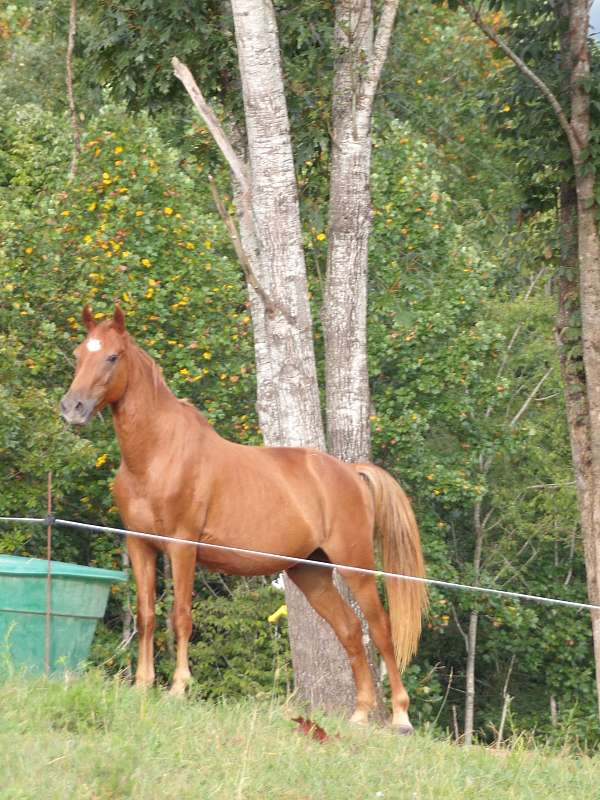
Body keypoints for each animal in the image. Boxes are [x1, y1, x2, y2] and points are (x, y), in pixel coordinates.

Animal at [60, 305, 427, 732]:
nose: (73, 408)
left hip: (355, 566)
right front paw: (142, 685)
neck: (158, 454)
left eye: (112, 357)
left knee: (381, 629)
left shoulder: (182, 547)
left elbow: (180, 616)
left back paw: (400, 716)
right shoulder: (140, 545)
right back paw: (360, 713)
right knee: (351, 631)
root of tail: (351, 472)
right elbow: (147, 615)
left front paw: (178, 688)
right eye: (79, 353)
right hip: (311, 573)